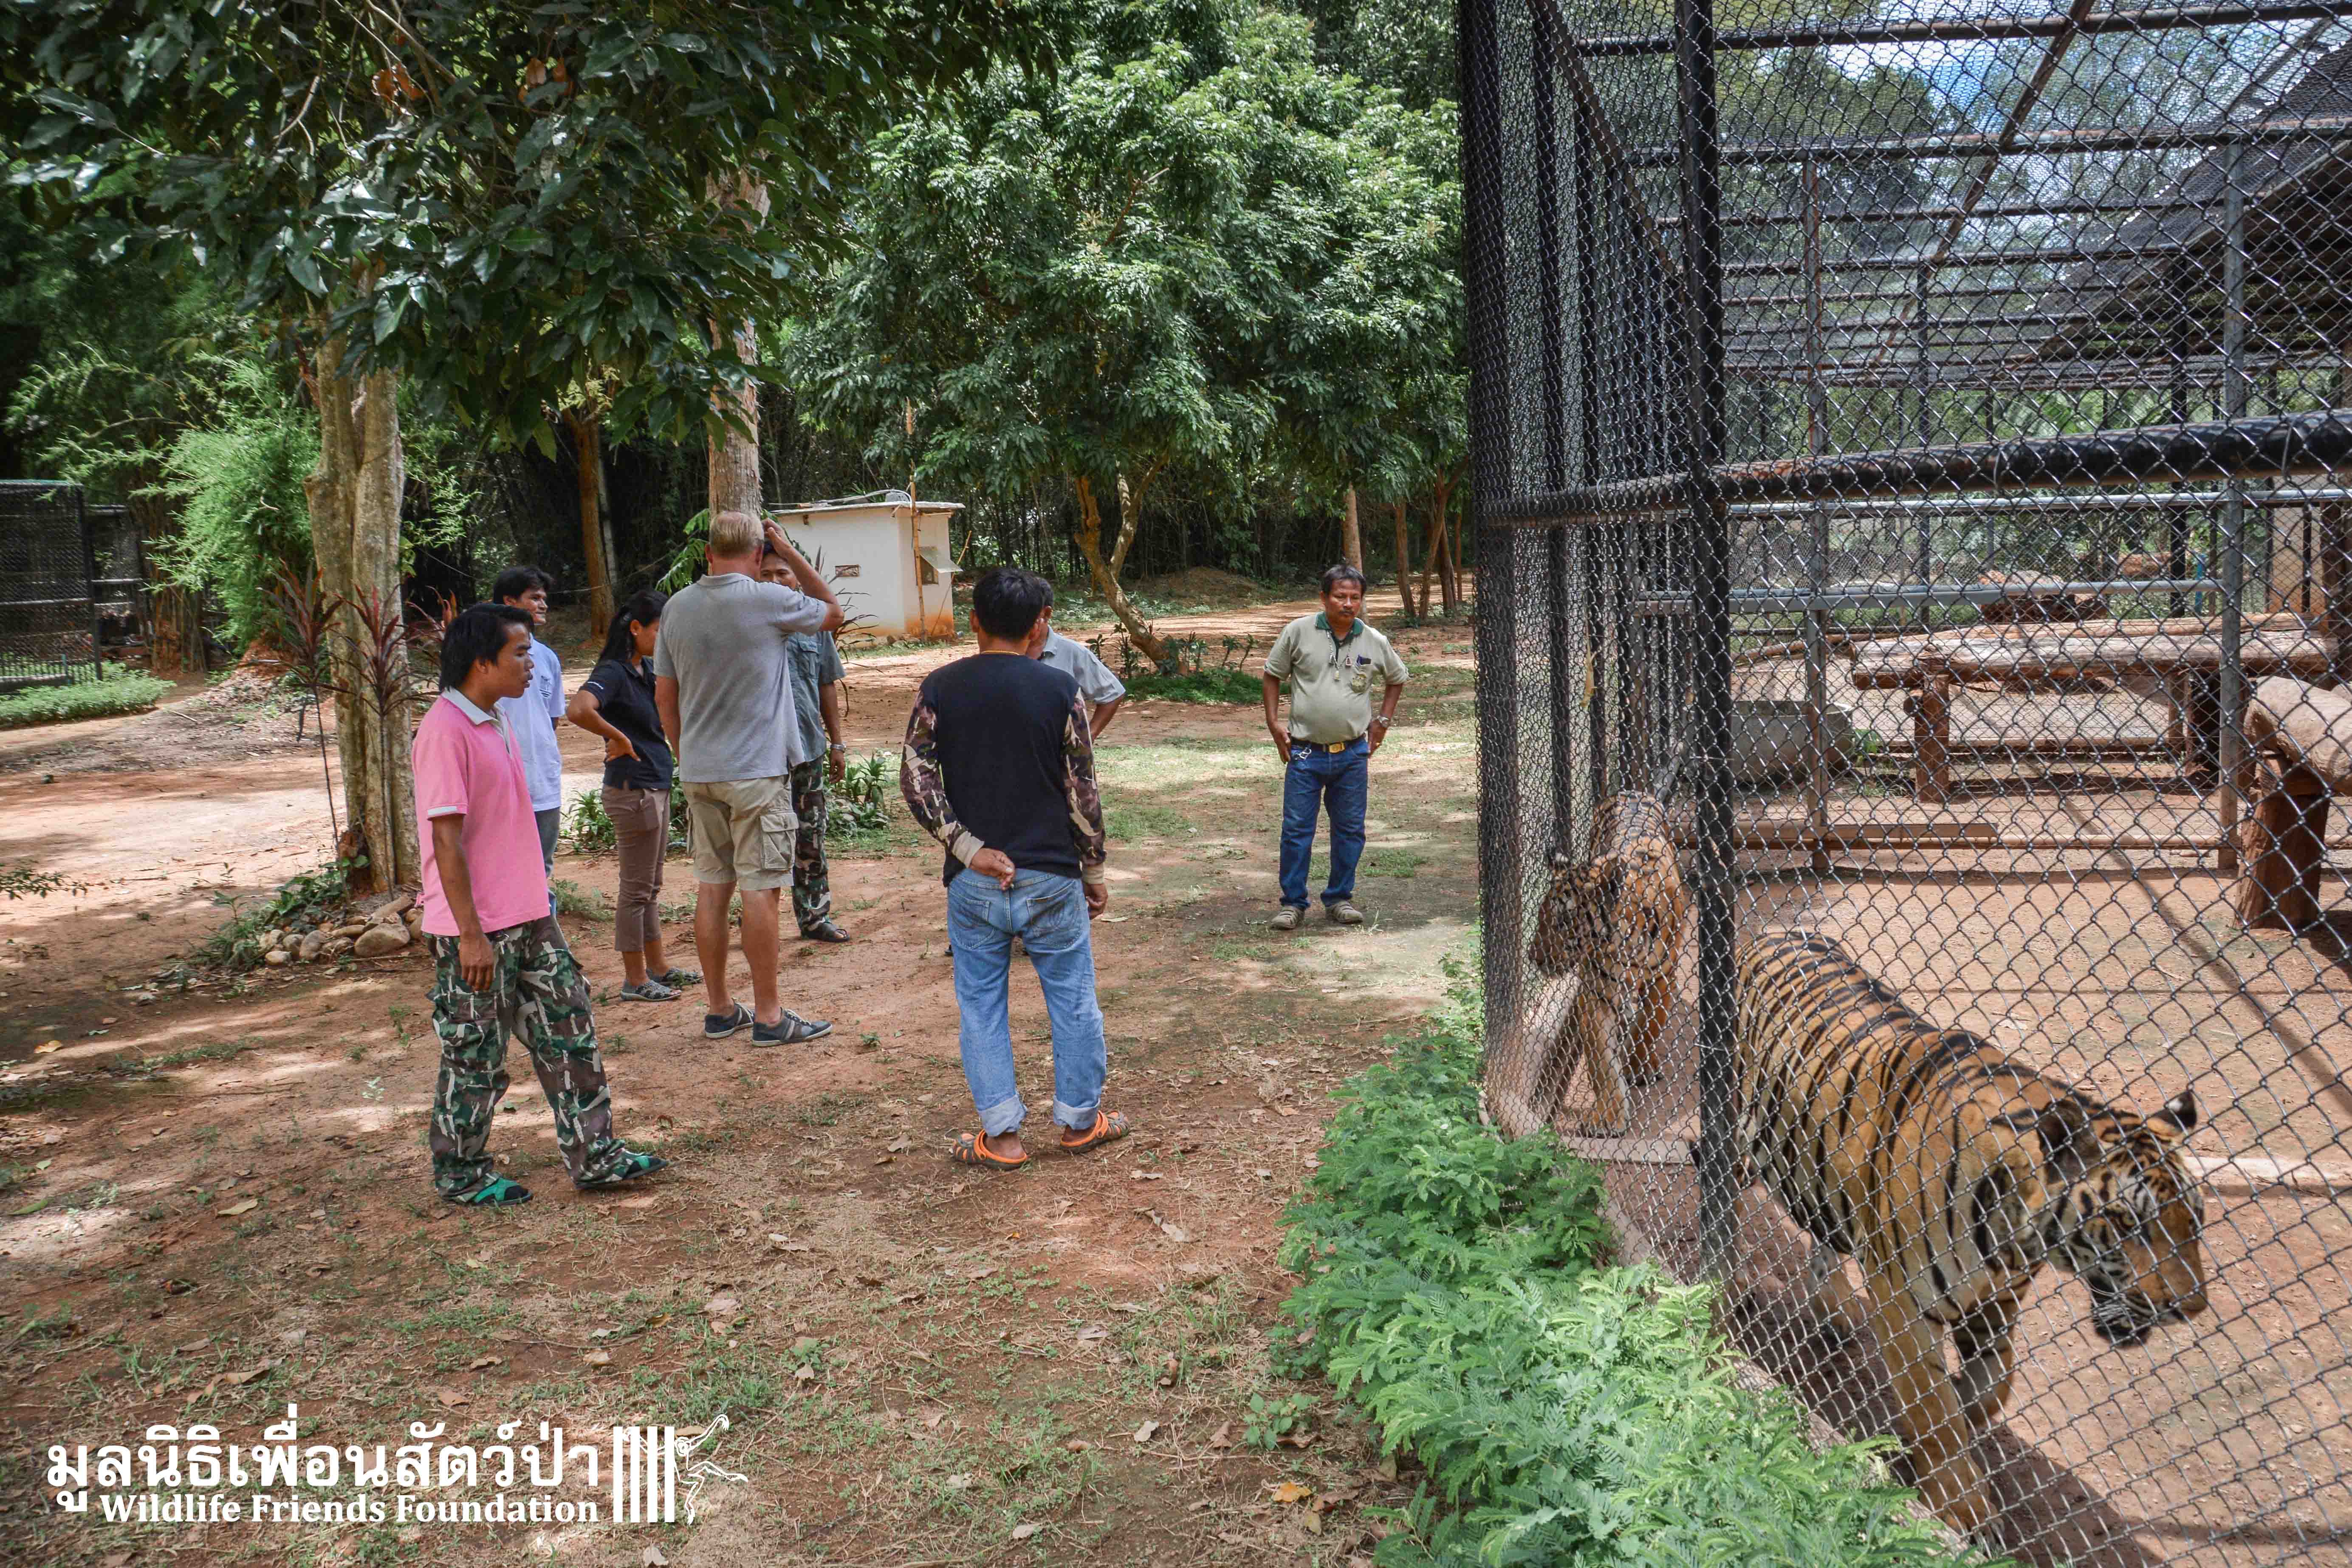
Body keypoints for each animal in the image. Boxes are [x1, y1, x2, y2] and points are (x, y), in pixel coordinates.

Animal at [1518, 790, 1688, 1135]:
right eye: (1541, 916)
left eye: (1562, 922)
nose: (1533, 957)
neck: (1620, 945)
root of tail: (1630, 792)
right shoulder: (1595, 992)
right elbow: (1600, 1059)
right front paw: (1608, 1116)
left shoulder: (1664, 979)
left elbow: (1650, 1024)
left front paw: (1639, 1067)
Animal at [1734, 927, 2211, 1538]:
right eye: (2130, 1221)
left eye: (2194, 1221)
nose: (2191, 1306)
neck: (2020, 1237)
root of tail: (1775, 931)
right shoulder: (1901, 1298)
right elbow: (1934, 1407)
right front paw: (1961, 1504)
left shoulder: (1995, 1303)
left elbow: (1991, 1388)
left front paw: (1949, 1422)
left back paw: (1834, 1312)